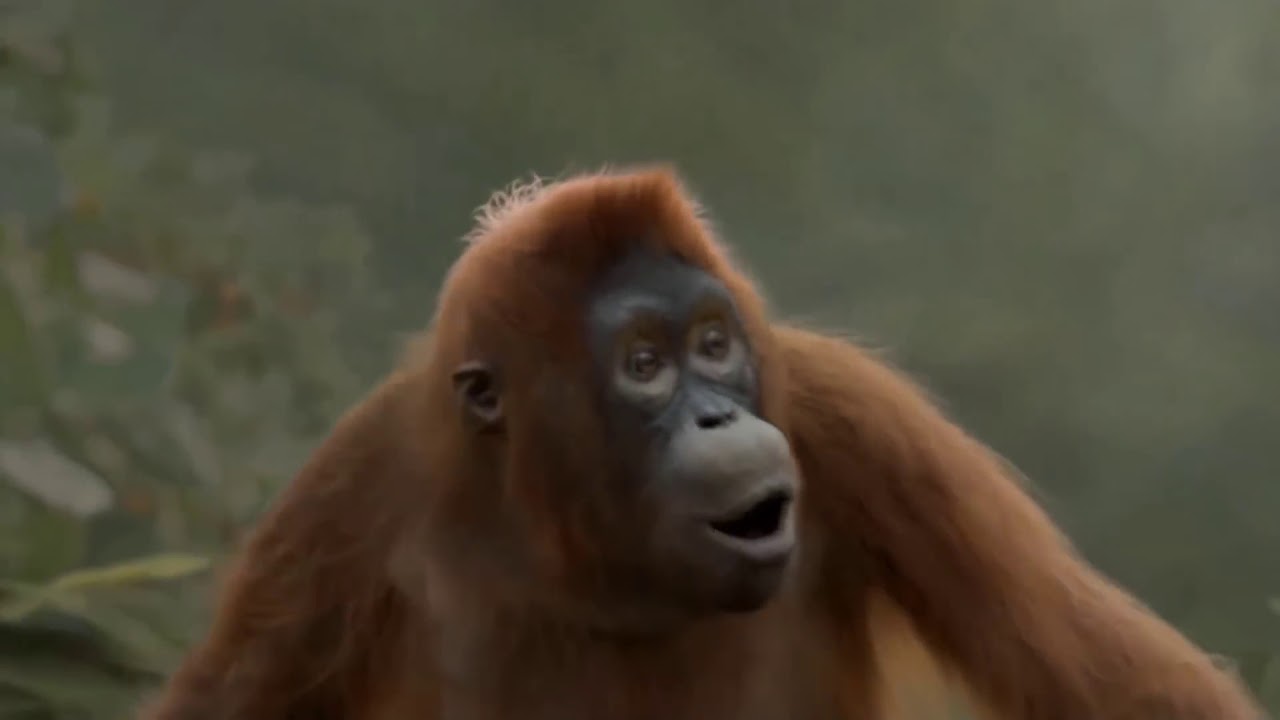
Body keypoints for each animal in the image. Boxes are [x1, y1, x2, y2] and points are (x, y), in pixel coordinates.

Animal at [139, 166, 1265, 719]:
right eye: (644, 363)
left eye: (714, 346)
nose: (718, 415)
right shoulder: (363, 485)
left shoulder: (853, 420)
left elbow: (1103, 673)